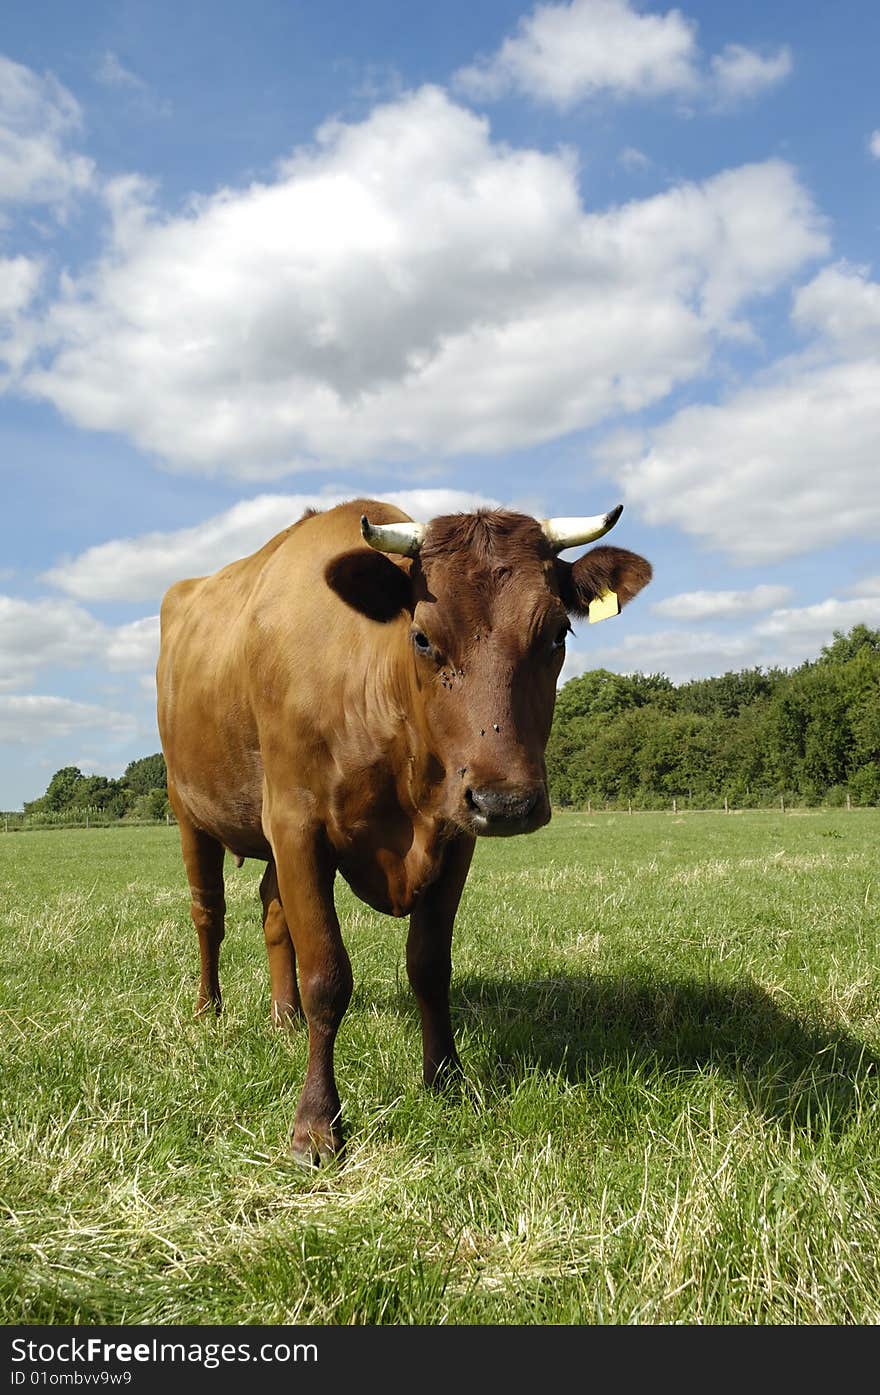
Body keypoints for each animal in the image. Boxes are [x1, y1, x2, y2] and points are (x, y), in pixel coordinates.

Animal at [158, 502, 649, 1166]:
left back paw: (283, 1018)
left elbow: (429, 965)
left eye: (556, 635)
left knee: (271, 911)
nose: (507, 802)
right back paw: (209, 1011)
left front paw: (445, 1078)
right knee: (208, 914)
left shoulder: (455, 834)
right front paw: (316, 1123)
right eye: (421, 636)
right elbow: (327, 975)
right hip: (189, 808)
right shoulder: (295, 823)